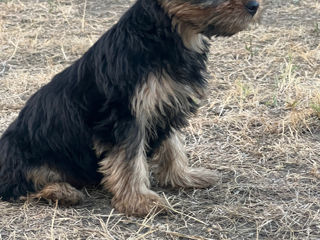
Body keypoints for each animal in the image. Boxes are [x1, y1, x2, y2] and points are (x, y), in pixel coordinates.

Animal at [0, 0, 262, 217]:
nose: (254, 5)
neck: (169, 32)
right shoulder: (127, 115)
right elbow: (130, 159)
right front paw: (139, 201)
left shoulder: (165, 105)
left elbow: (173, 145)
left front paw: (183, 176)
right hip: (23, 154)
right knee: (19, 184)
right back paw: (61, 191)